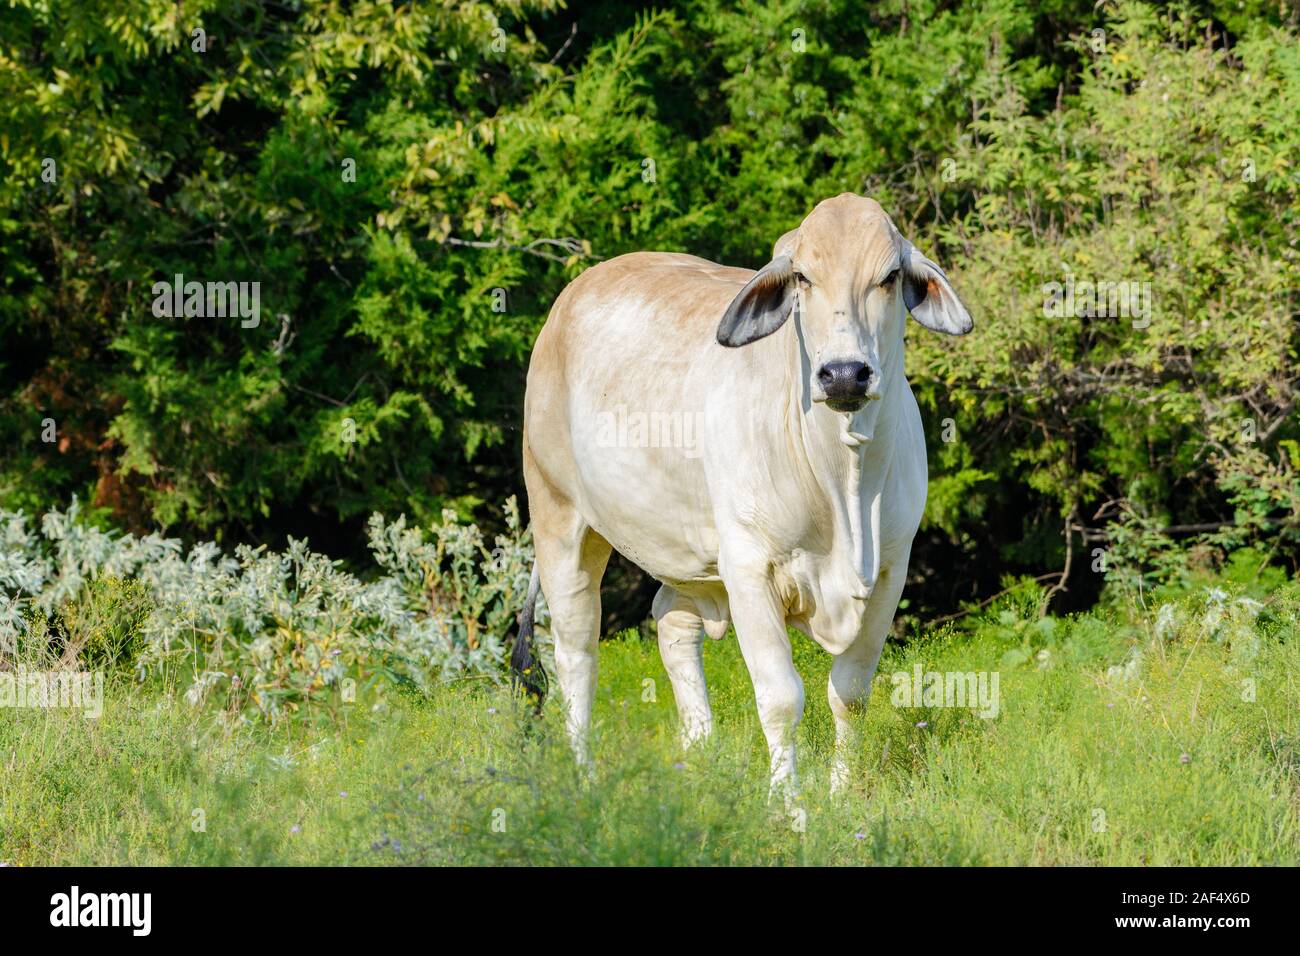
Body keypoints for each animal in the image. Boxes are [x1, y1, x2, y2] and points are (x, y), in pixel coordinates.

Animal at [512, 188, 972, 790]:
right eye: (801, 276)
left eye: (890, 276)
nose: (844, 374)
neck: (843, 481)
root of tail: (574, 293)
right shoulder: (750, 568)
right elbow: (781, 698)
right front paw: (789, 802)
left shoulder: (891, 571)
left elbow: (850, 693)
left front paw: (842, 793)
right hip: (559, 516)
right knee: (576, 650)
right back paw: (585, 773)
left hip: (691, 552)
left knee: (672, 620)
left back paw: (699, 751)